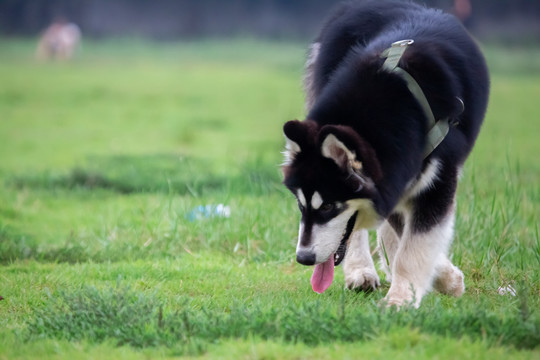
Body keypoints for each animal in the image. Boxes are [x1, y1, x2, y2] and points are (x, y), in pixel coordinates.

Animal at [282, 0, 490, 310]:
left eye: (329, 206)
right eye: (300, 204)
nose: (304, 258)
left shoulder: (431, 180)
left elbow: (413, 245)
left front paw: (400, 299)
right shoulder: (395, 179)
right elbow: (405, 238)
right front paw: (438, 280)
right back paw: (361, 272)